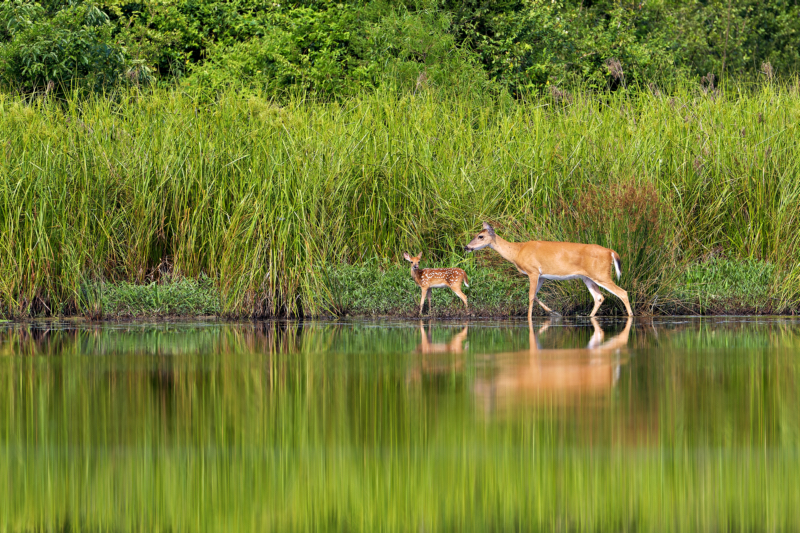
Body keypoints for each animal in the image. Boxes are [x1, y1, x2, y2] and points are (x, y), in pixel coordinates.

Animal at [462, 222, 632, 318]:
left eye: (480, 236)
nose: (466, 247)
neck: (517, 251)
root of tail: (611, 252)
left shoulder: (533, 271)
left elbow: (530, 296)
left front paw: (530, 318)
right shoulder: (542, 276)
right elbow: (535, 295)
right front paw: (554, 313)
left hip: (601, 274)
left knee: (622, 292)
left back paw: (630, 316)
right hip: (588, 277)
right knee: (599, 297)